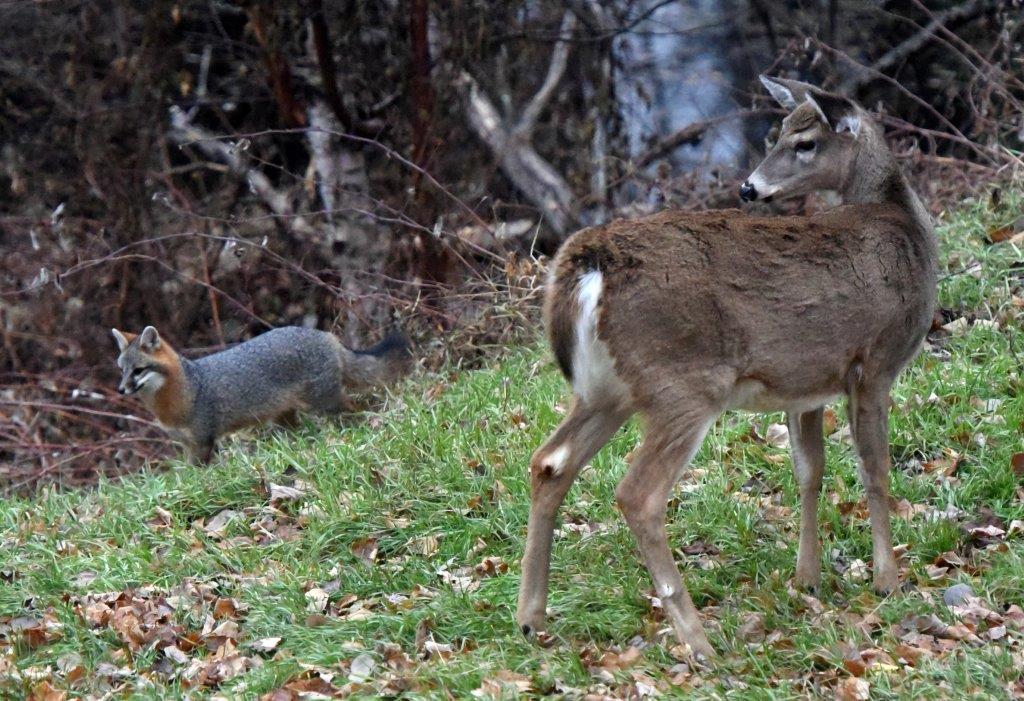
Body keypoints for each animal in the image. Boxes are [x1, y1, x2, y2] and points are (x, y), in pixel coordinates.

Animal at [111, 325, 411, 463]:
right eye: (122, 370)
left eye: (138, 371)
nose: (121, 389)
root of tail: (324, 334)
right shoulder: (187, 446)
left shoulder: (203, 441)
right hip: (284, 417)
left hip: (324, 403)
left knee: (354, 410)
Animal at [516, 76, 937, 659]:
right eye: (779, 136)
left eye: (802, 142)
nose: (749, 189)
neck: (903, 224)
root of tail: (587, 266)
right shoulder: (874, 361)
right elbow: (874, 469)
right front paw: (887, 581)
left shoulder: (805, 385)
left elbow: (809, 471)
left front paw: (807, 580)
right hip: (683, 384)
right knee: (637, 494)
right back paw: (699, 643)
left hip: (607, 390)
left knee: (550, 462)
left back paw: (530, 617)